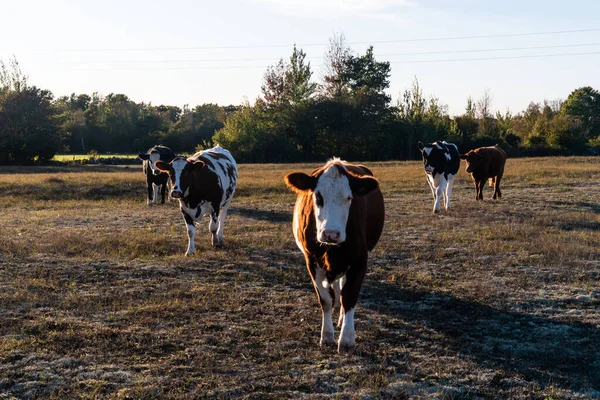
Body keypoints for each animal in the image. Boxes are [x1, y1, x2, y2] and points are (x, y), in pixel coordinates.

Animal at [284, 158, 384, 354]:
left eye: (349, 198)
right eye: (318, 196)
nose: (331, 233)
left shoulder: (359, 262)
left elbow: (349, 297)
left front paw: (346, 339)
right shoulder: (311, 261)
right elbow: (325, 299)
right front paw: (327, 336)